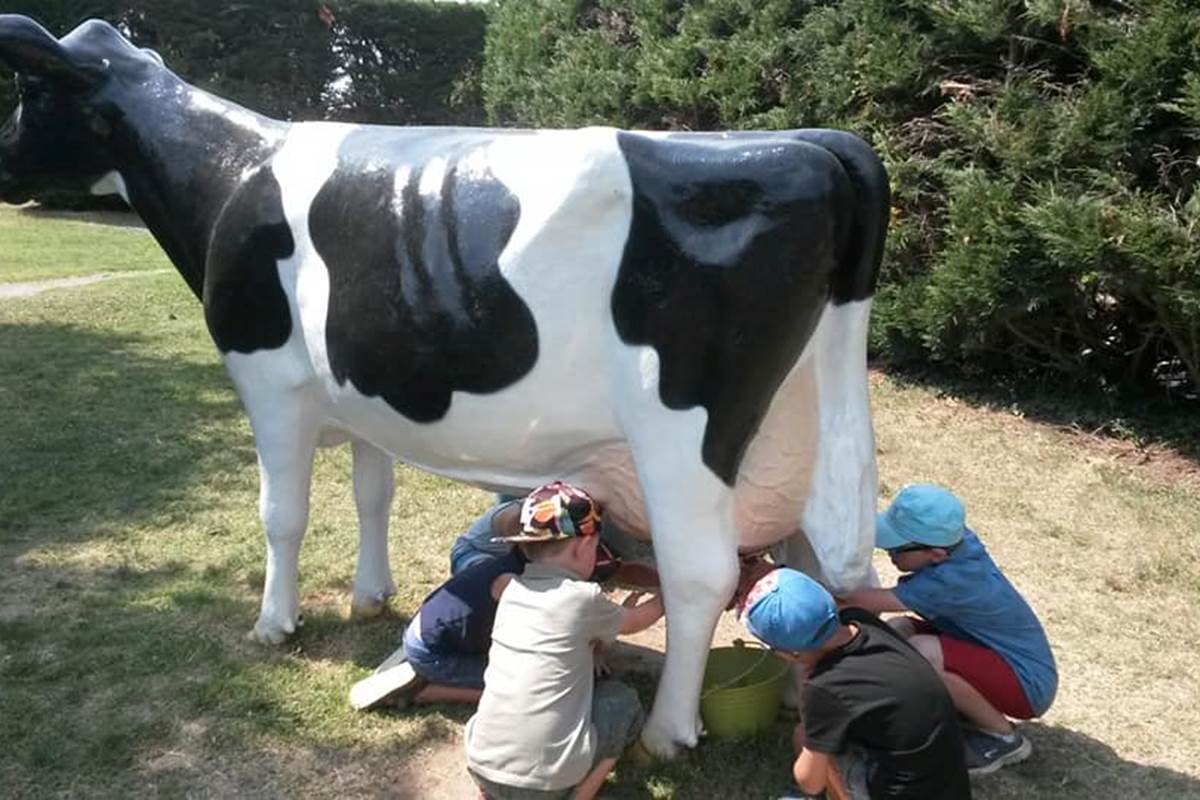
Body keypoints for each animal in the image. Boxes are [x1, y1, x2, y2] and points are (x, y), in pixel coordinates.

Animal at [0, 15, 888, 756]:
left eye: (32, 92)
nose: (4, 164)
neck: (231, 177)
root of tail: (814, 143)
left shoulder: (270, 384)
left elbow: (282, 515)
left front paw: (274, 624)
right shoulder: (363, 393)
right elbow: (372, 493)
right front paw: (369, 596)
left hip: (685, 428)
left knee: (702, 572)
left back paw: (669, 732)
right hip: (806, 413)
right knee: (815, 552)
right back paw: (795, 696)